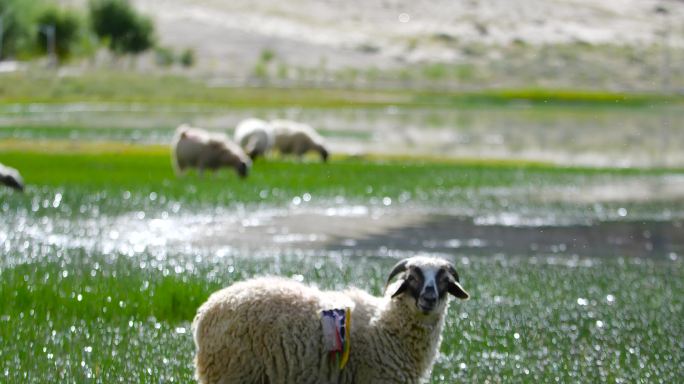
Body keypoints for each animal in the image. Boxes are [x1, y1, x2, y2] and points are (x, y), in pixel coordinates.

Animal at [192, 255, 470, 384]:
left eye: (445, 281)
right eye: (412, 278)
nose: (429, 298)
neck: (386, 323)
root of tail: (204, 312)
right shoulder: (376, 377)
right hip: (233, 372)